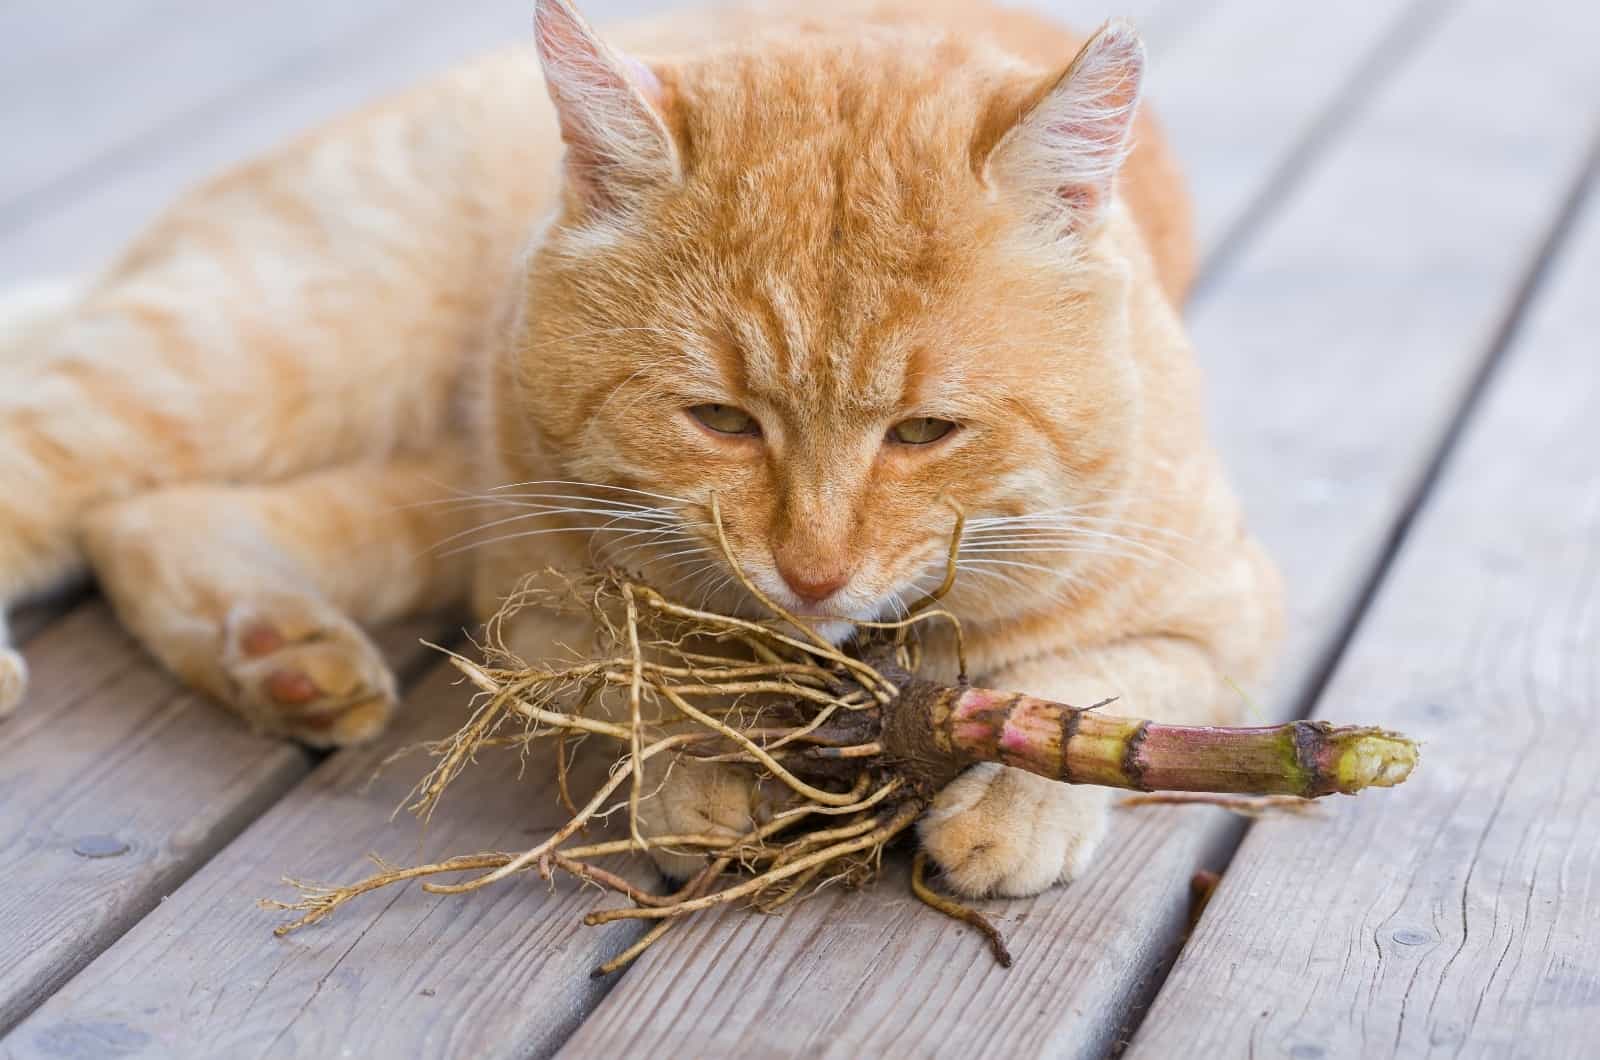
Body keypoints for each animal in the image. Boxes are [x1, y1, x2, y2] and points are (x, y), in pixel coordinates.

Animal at [0, 0, 1273, 896]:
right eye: (722, 420)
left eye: (923, 433)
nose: (813, 571)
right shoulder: (535, 601)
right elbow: (647, 677)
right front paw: (704, 770)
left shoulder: (1226, 619)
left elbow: (1096, 680)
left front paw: (1015, 798)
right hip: (263, 356)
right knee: (55, 457)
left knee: (149, 517)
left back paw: (282, 657)